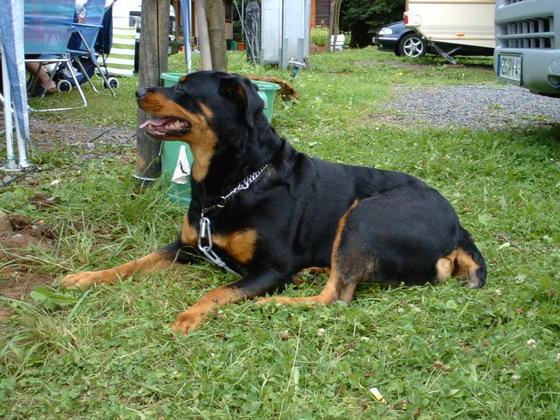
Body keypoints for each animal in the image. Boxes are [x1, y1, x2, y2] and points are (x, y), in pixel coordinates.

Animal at [62, 70, 486, 334]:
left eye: (183, 89)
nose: (136, 92)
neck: (233, 181)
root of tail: (458, 229)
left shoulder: (270, 268)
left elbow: (218, 291)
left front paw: (190, 315)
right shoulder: (188, 246)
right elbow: (134, 262)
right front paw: (87, 277)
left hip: (364, 214)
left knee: (336, 297)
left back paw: (275, 304)